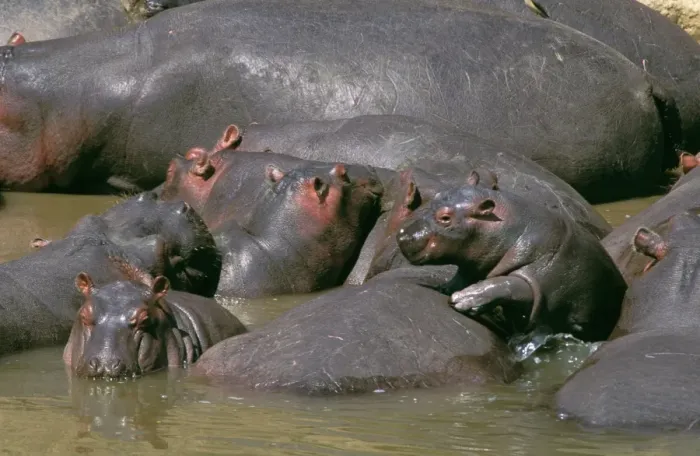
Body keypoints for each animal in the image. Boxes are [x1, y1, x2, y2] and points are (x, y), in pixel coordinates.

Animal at [397, 176, 626, 343]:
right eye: (437, 195)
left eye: (445, 217)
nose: (402, 234)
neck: (509, 227)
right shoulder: (474, 263)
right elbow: (463, 273)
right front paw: (445, 287)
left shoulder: (542, 275)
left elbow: (509, 284)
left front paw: (464, 298)